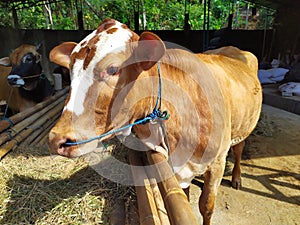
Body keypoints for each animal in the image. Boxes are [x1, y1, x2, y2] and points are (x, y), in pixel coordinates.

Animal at [48, 19, 262, 225]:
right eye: (70, 71)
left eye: (113, 69)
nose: (56, 139)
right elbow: (183, 197)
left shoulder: (217, 162)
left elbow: (206, 207)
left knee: (239, 149)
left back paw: (237, 178)